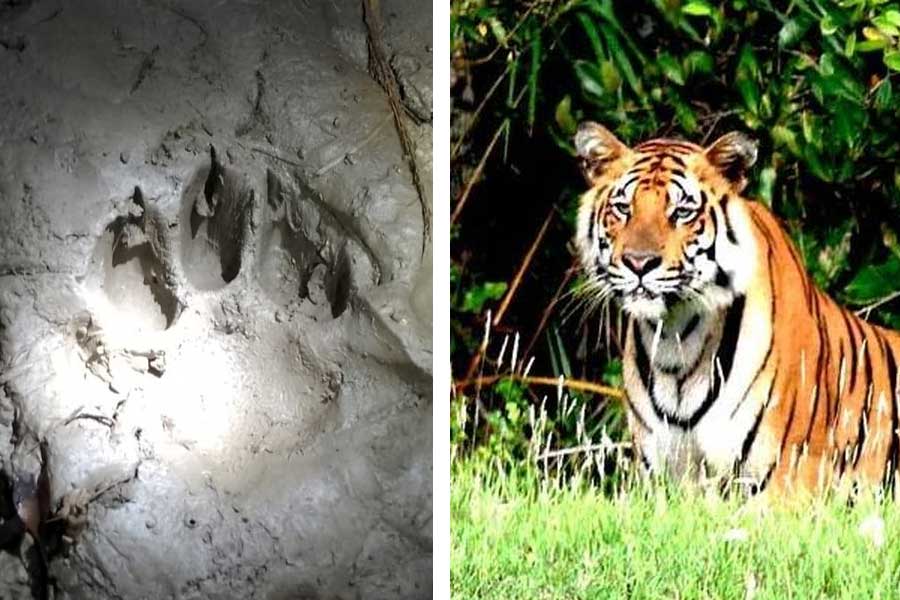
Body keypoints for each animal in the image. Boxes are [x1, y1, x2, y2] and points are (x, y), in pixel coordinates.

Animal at [573, 121, 900, 497]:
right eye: (623, 208)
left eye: (682, 212)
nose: (639, 263)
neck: (676, 339)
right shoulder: (664, 478)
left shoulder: (789, 478)